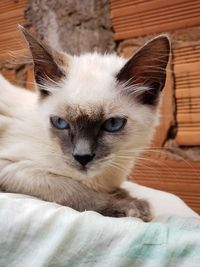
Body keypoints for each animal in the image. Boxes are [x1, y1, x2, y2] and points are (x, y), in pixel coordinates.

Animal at [0, 27, 170, 223]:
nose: (82, 157)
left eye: (112, 124)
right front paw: (129, 206)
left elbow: (117, 190)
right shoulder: (12, 166)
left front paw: (130, 199)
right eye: (60, 123)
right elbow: (72, 190)